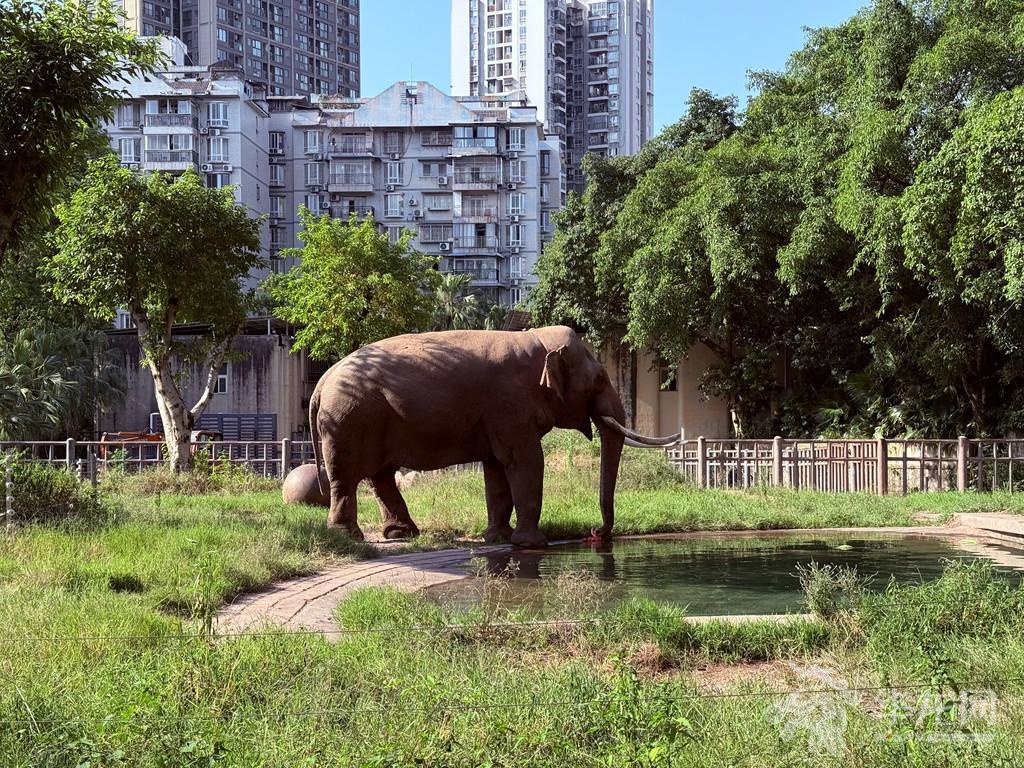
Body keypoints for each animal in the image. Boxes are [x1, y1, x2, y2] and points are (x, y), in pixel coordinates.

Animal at [309, 325, 676, 547]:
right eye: (599, 379)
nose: (596, 534)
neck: (537, 339)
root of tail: (322, 380)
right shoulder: (508, 405)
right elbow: (526, 461)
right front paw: (531, 544)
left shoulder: (497, 417)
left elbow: (497, 469)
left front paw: (497, 538)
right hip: (349, 418)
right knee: (346, 475)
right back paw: (349, 538)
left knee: (380, 475)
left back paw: (402, 534)